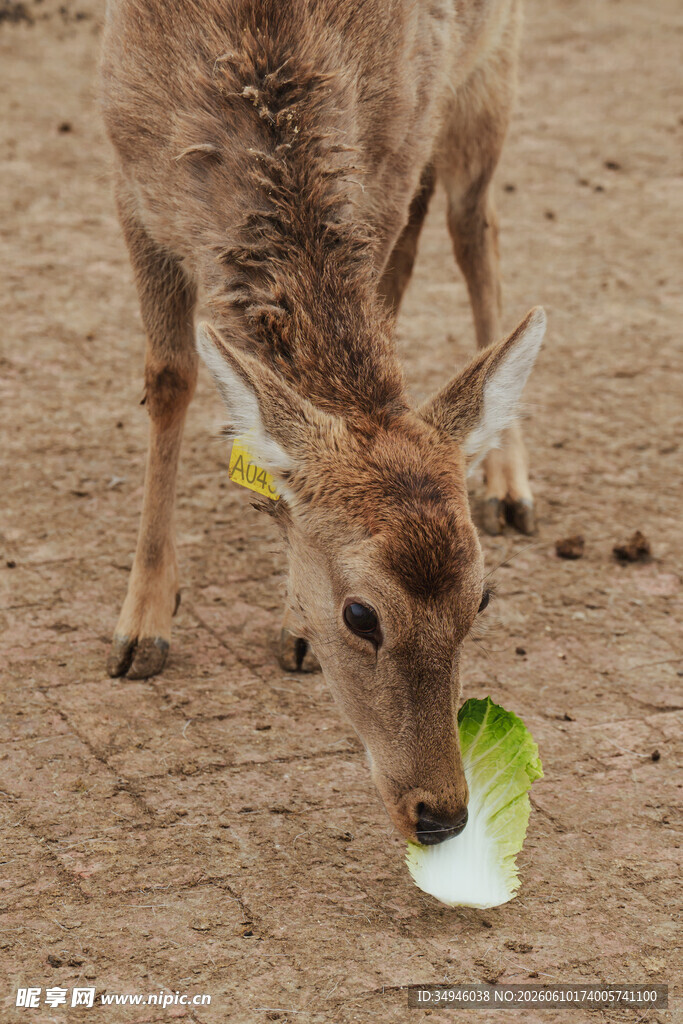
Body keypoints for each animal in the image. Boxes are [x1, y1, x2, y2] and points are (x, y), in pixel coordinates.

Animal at [100, 0, 546, 846]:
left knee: (475, 223)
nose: (442, 813)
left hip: (493, 67)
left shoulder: (389, 159)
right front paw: (140, 626)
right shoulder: (132, 184)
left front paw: (292, 629)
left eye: (481, 599)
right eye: (361, 614)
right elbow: (170, 378)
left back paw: (508, 484)